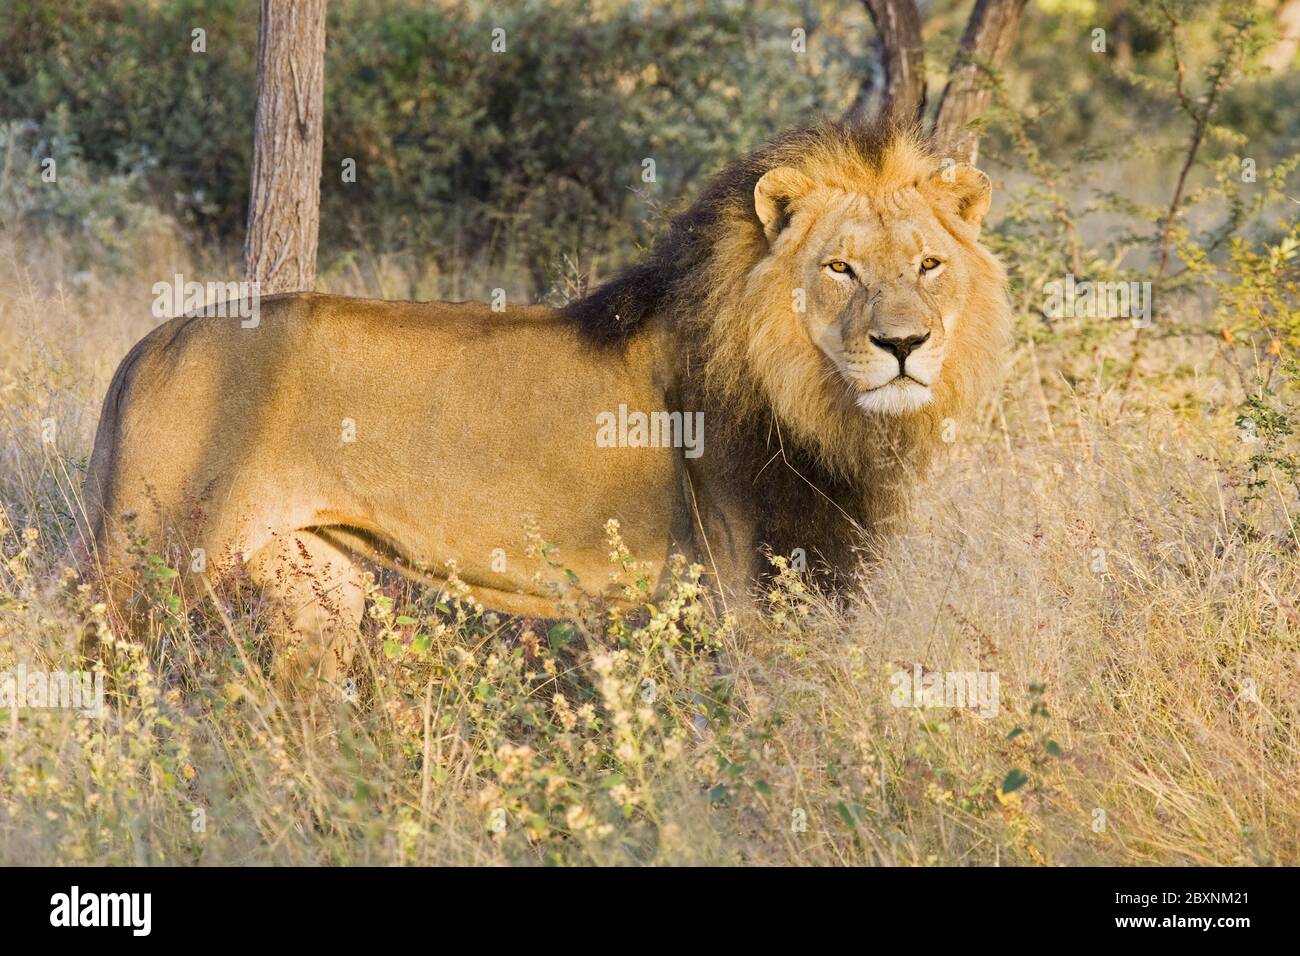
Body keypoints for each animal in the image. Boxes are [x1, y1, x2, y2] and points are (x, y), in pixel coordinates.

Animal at [81, 118, 1011, 694]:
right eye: (840, 270)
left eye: (928, 265)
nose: (904, 345)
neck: (818, 399)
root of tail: (153, 340)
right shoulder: (748, 590)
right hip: (145, 558)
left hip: (318, 588)